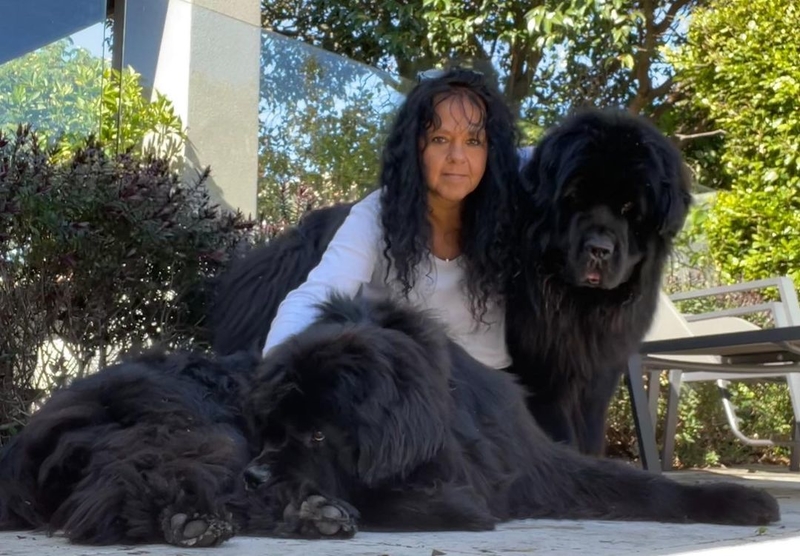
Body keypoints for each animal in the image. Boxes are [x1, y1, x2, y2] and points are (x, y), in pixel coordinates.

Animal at [0, 296, 780, 548]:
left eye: (316, 432)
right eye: (268, 426)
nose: (258, 469)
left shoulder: (539, 468)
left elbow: (638, 485)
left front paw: (737, 499)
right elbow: (417, 501)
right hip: (194, 428)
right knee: (131, 482)